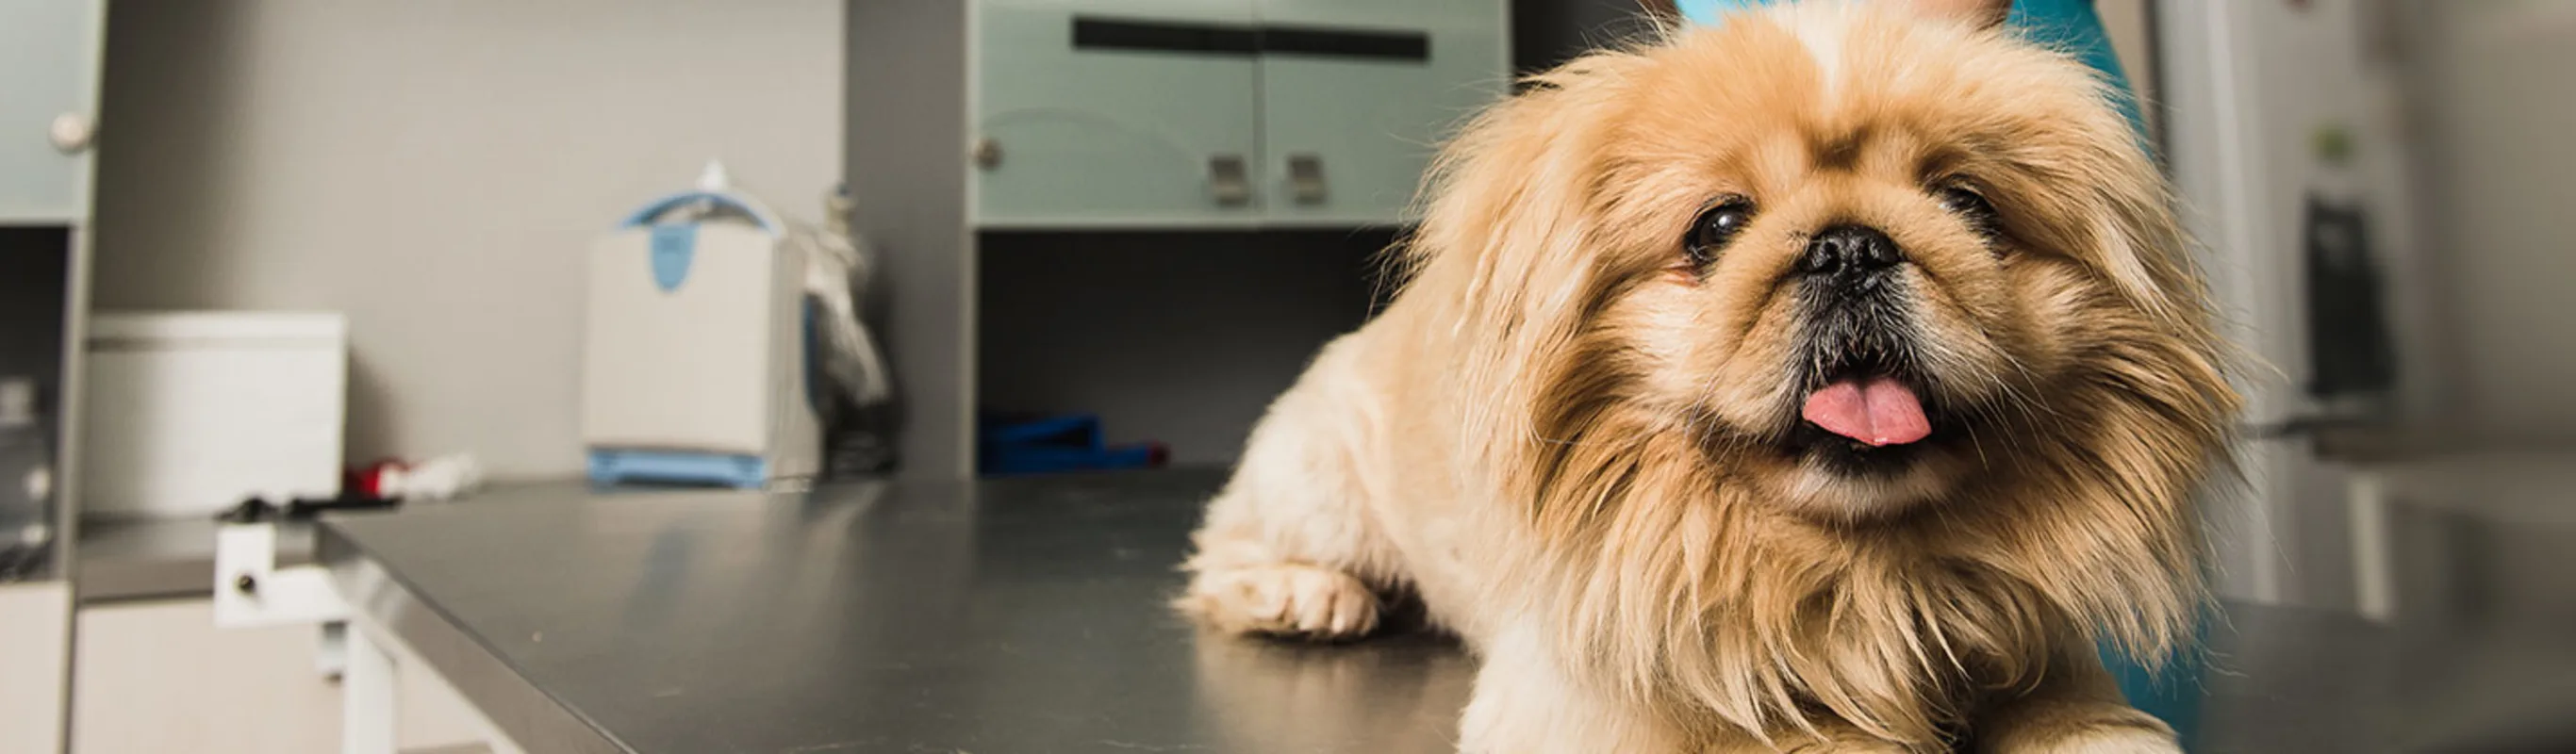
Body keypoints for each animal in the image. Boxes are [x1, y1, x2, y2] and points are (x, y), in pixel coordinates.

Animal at [1180, 3, 2246, 746]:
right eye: (1717, 227)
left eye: (1966, 205)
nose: (1848, 248)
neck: (1864, 573)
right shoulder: (1587, 699)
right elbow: (1786, 725)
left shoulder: (2038, 648)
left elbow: (2087, 720)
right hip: (1319, 487)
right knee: (1221, 553)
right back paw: (1307, 597)